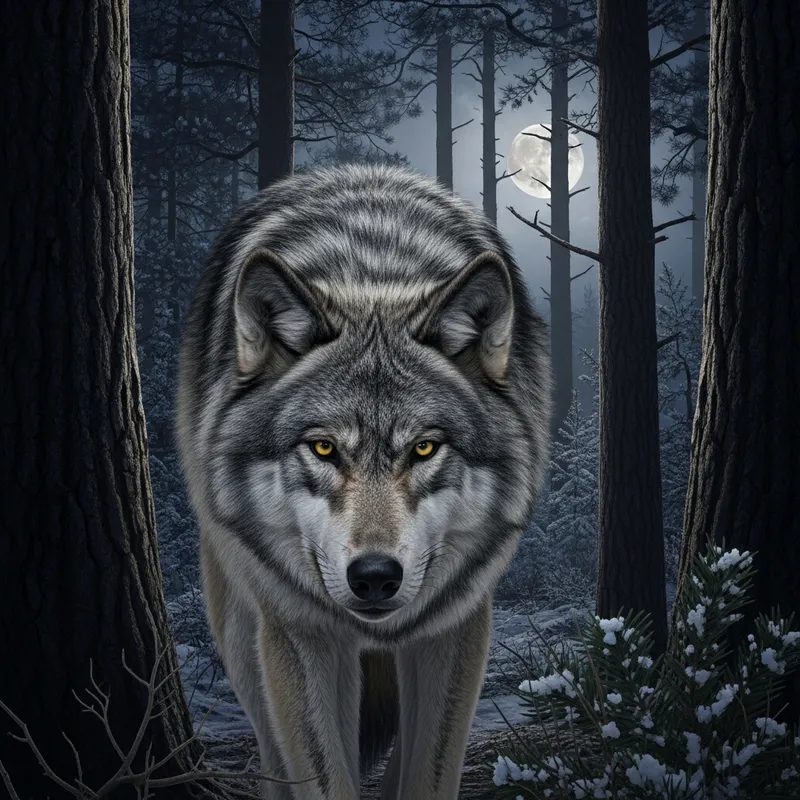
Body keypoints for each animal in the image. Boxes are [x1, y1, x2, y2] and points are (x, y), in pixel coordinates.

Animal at [175, 164, 551, 799]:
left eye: (424, 448)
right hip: (244, 627)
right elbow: (323, 776)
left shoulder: (456, 625)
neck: (372, 275)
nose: (375, 576)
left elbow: (430, 774)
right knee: (272, 751)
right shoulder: (301, 632)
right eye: (324, 448)